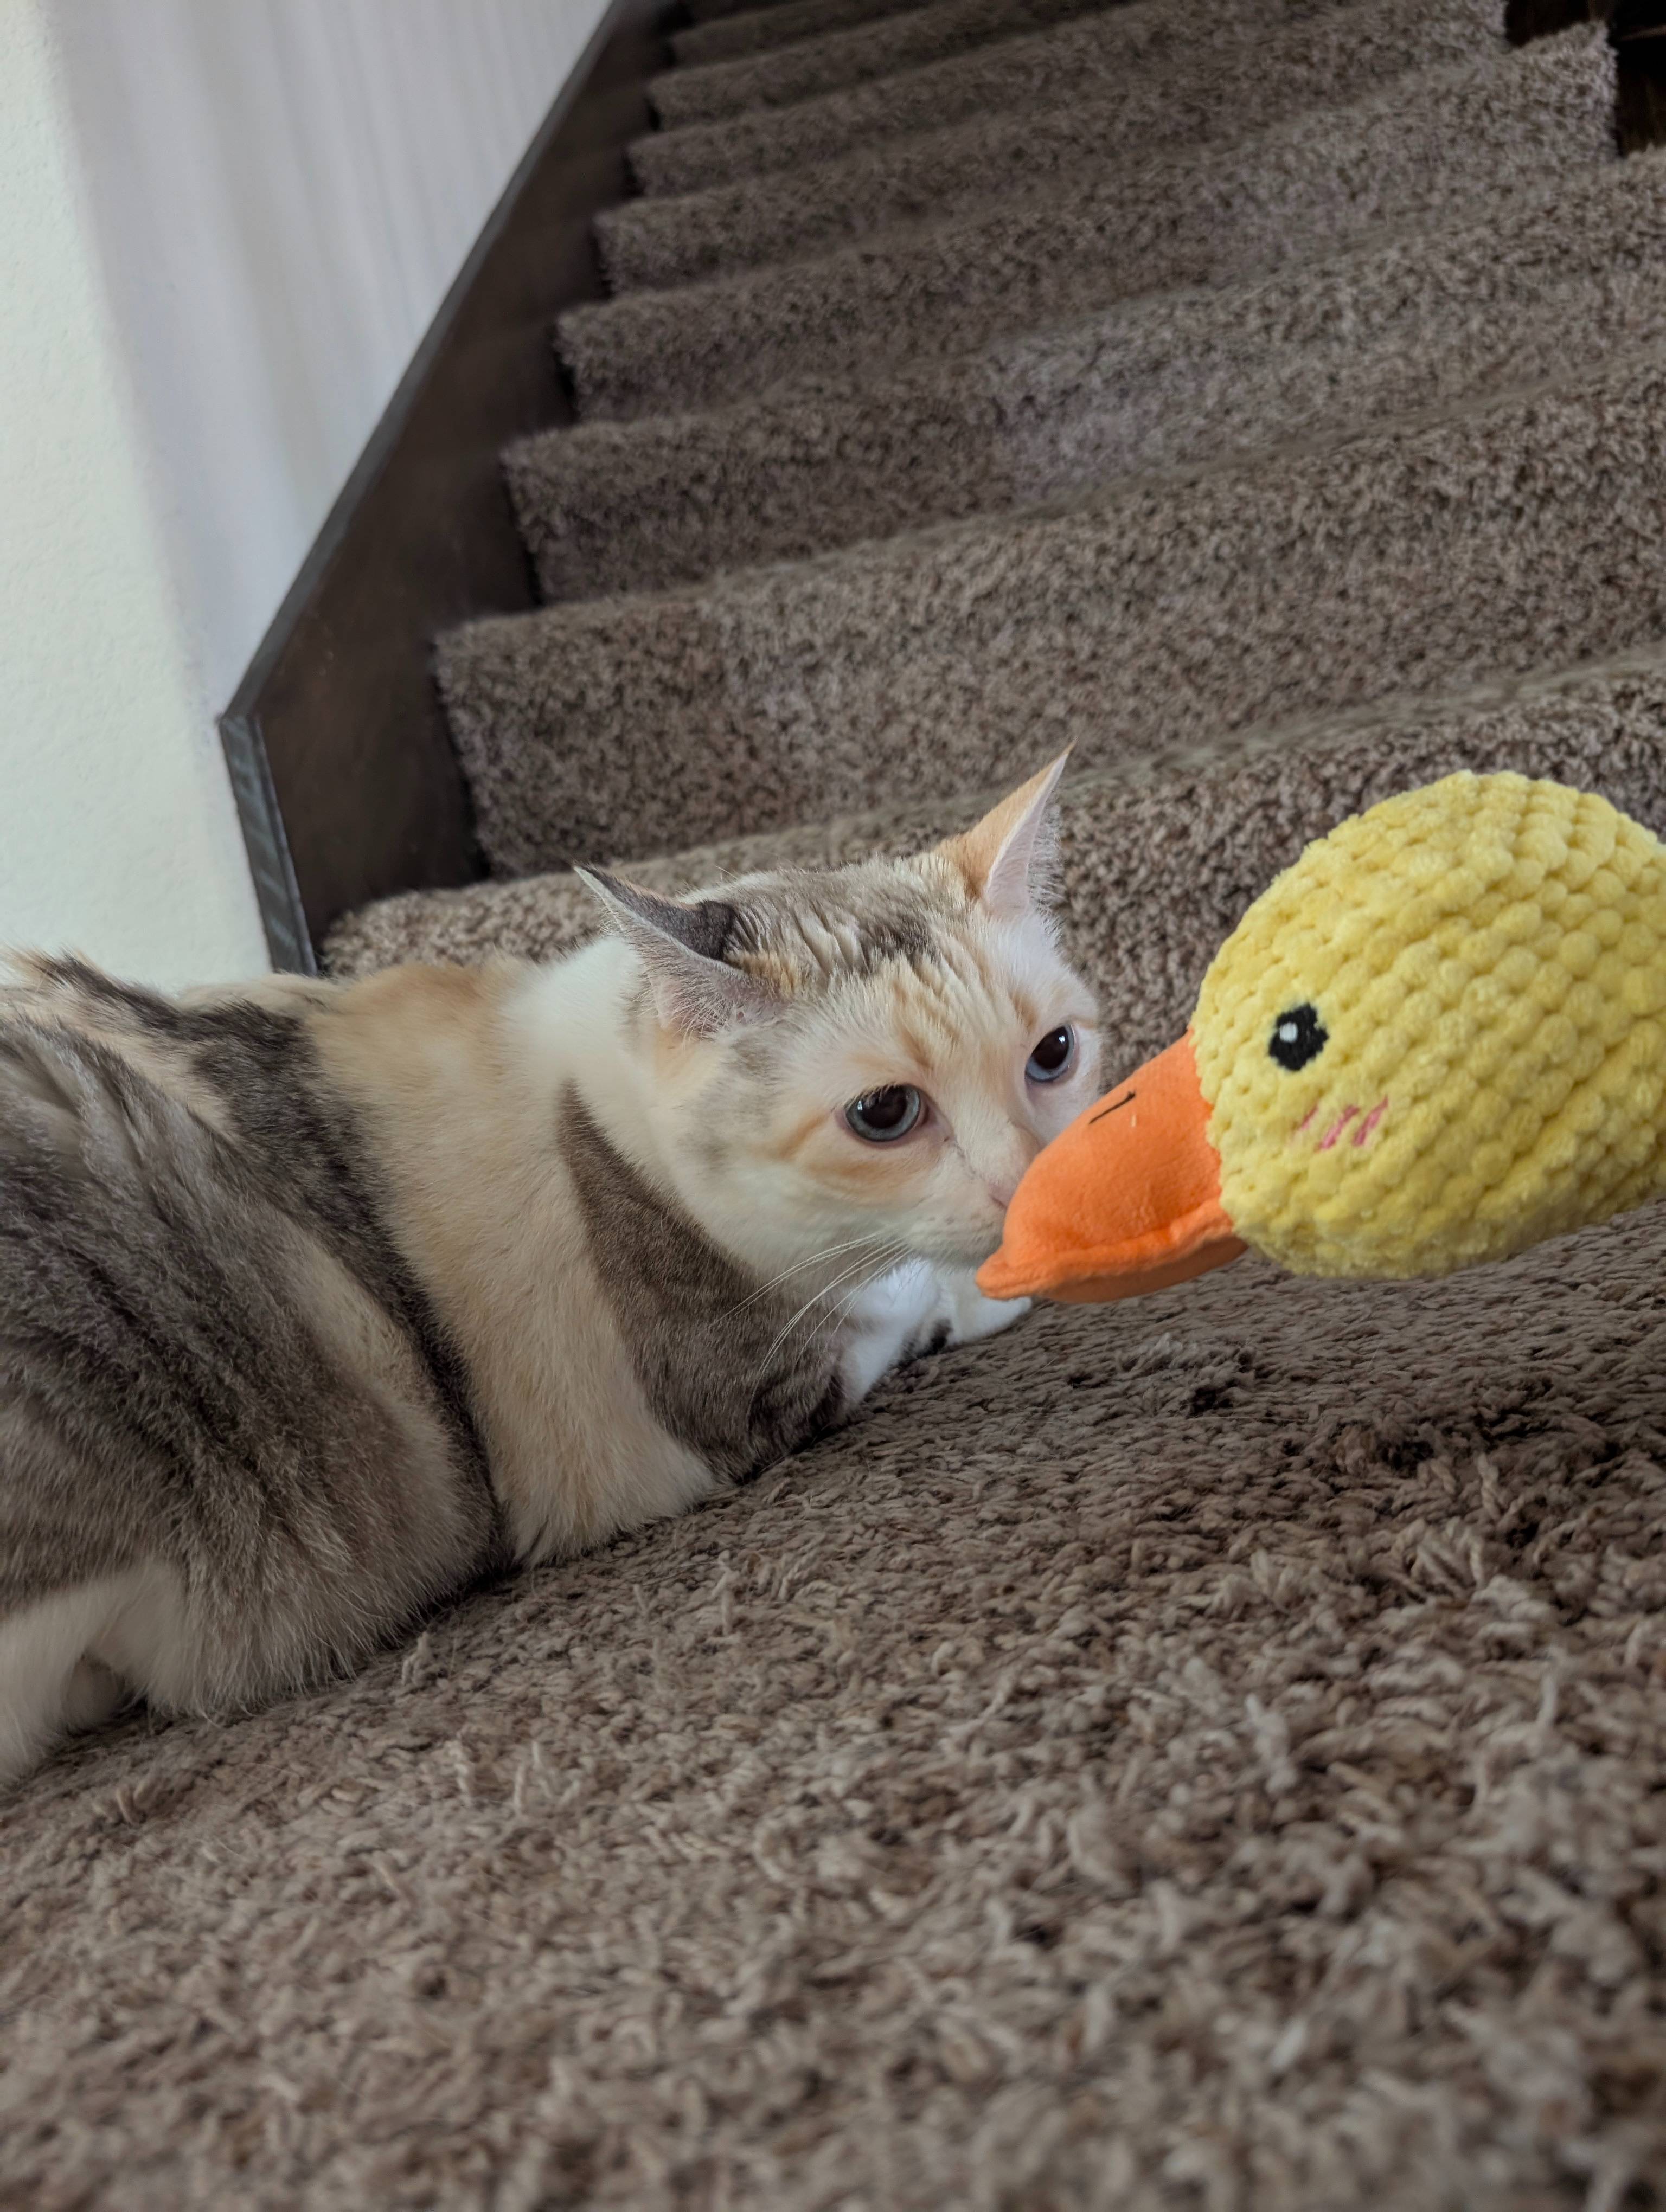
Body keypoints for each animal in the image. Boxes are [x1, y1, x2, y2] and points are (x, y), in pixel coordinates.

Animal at [0, 757, 1100, 1788]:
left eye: (1053, 1054)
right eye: (884, 1114)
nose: (1032, 1187)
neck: (601, 1100)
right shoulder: (735, 1399)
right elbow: (904, 1304)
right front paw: (991, 1284)